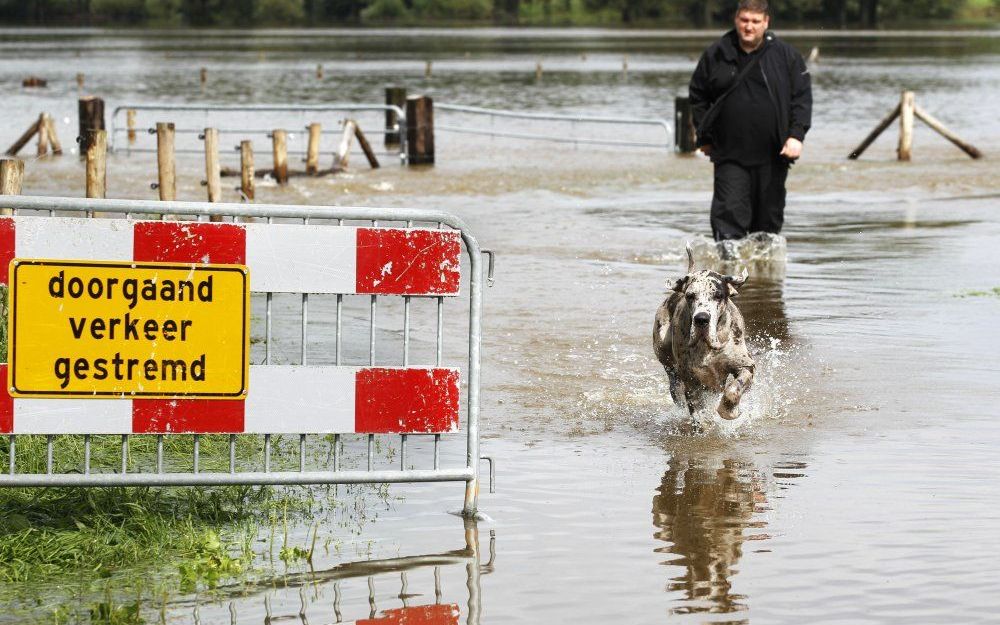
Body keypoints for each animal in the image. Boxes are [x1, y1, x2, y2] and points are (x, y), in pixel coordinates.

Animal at [652, 247, 752, 420]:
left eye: (718, 295)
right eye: (690, 296)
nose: (701, 319)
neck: (708, 347)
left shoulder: (745, 365)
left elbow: (733, 390)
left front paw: (729, 412)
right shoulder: (691, 381)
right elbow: (698, 412)